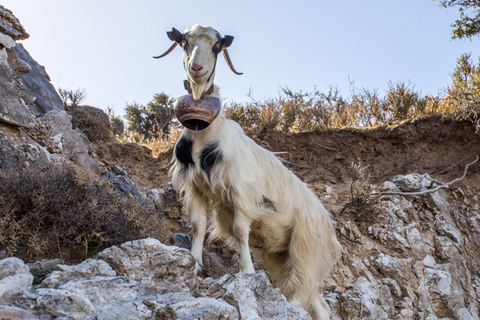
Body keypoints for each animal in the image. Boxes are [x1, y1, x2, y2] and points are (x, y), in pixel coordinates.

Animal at [154, 23, 342, 318]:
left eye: (217, 46)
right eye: (184, 42)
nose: (197, 68)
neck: (204, 136)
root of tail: (328, 226)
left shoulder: (241, 194)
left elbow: (241, 231)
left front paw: (247, 272)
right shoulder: (196, 189)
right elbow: (198, 226)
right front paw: (194, 264)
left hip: (305, 248)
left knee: (302, 291)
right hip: (280, 255)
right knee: (317, 303)